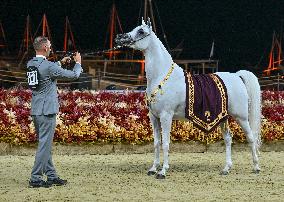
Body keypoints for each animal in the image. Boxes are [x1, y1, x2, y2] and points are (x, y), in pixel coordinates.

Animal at [115, 19, 262, 179]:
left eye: (141, 31)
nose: (119, 38)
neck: (162, 77)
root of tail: (237, 76)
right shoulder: (154, 117)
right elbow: (156, 143)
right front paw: (153, 168)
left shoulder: (166, 116)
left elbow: (165, 143)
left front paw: (163, 171)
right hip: (223, 118)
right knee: (228, 139)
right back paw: (226, 168)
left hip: (241, 117)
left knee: (251, 138)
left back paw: (256, 167)